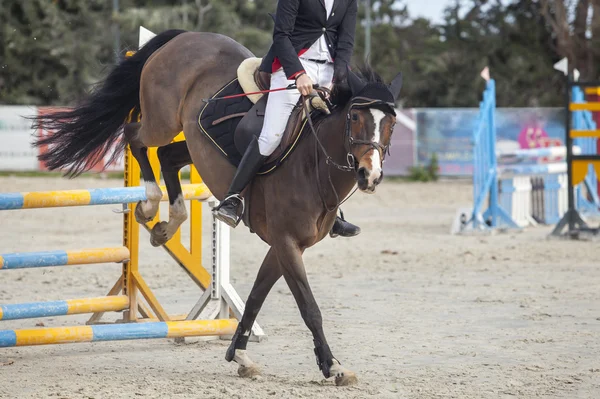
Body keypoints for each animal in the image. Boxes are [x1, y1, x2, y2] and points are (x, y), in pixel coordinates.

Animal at [35, 29, 406, 386]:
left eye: (391, 124)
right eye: (355, 116)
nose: (370, 175)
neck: (311, 163)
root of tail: (186, 36)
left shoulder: (284, 246)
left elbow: (255, 298)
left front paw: (240, 356)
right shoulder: (286, 242)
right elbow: (309, 307)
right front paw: (333, 367)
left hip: (190, 142)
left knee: (167, 157)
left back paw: (168, 223)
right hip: (162, 122)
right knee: (134, 135)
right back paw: (150, 204)